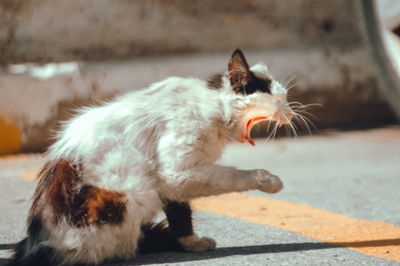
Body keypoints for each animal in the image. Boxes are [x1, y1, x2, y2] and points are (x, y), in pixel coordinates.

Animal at [11, 48, 300, 264]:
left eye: (286, 98)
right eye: (278, 99)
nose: (291, 112)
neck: (214, 106)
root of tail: (40, 246)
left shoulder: (172, 180)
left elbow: (180, 210)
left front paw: (190, 242)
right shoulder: (175, 171)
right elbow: (232, 176)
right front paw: (269, 181)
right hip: (132, 186)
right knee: (115, 248)